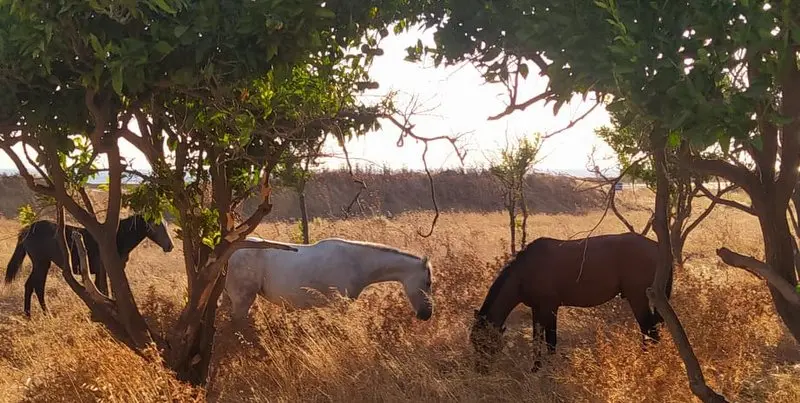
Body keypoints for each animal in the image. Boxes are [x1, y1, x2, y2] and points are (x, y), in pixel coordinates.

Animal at [4, 215, 173, 318]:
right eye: (156, 225)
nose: (170, 246)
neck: (115, 239)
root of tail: (28, 229)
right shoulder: (104, 270)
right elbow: (104, 290)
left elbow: (108, 290)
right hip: (41, 263)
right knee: (36, 286)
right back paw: (41, 314)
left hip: (42, 263)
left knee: (32, 285)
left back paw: (32, 315)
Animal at [472, 232, 672, 374]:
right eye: (474, 341)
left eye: (484, 342)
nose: (480, 370)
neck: (525, 270)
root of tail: (657, 248)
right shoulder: (536, 309)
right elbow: (537, 339)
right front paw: (535, 368)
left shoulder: (550, 308)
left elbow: (550, 342)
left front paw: (550, 372)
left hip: (638, 299)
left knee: (650, 332)